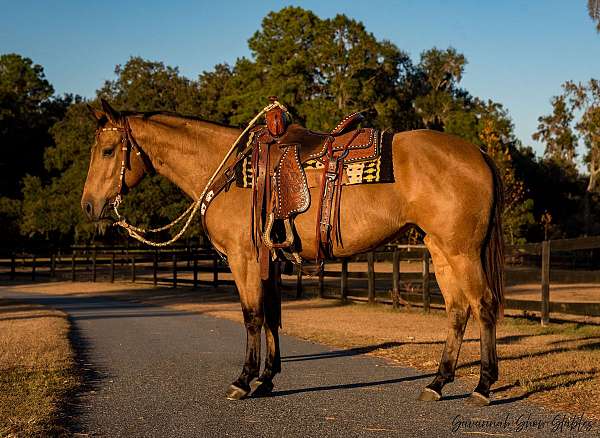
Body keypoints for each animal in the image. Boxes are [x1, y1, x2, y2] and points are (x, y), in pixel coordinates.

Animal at [82, 99, 504, 408]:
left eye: (107, 151)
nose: (88, 206)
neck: (229, 171)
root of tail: (479, 153)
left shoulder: (244, 259)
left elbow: (252, 317)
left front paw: (243, 381)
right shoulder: (268, 261)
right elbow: (271, 316)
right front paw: (266, 379)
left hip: (462, 251)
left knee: (483, 306)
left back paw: (482, 387)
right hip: (440, 250)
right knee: (457, 311)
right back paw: (437, 383)